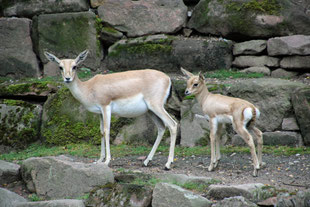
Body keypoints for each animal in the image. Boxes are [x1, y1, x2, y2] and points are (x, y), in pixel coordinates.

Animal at [44, 50, 178, 170]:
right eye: (60, 67)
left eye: (74, 66)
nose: (67, 78)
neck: (88, 88)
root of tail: (167, 78)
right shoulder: (100, 112)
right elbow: (101, 132)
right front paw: (99, 160)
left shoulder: (106, 107)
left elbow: (107, 130)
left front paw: (107, 161)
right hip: (150, 111)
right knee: (161, 127)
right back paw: (146, 161)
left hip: (156, 106)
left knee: (172, 124)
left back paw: (168, 164)